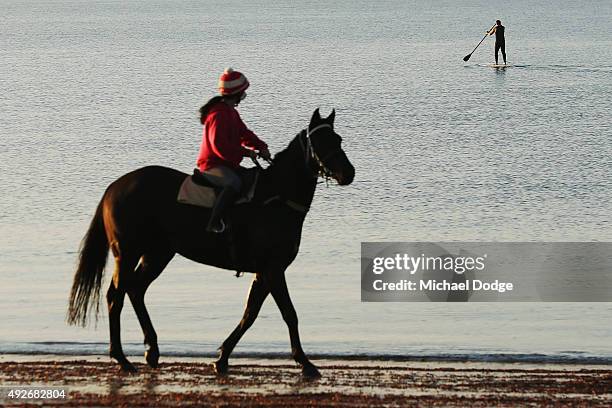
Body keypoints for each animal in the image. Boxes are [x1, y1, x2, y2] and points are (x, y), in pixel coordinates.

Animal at [66, 107, 354, 376]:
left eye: (338, 139)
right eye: (320, 141)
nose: (348, 173)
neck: (276, 199)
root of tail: (115, 186)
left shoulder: (265, 272)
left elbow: (250, 314)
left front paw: (223, 357)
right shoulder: (273, 269)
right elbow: (289, 314)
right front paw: (305, 363)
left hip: (157, 254)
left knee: (135, 290)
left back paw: (152, 350)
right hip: (128, 252)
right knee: (116, 296)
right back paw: (122, 358)